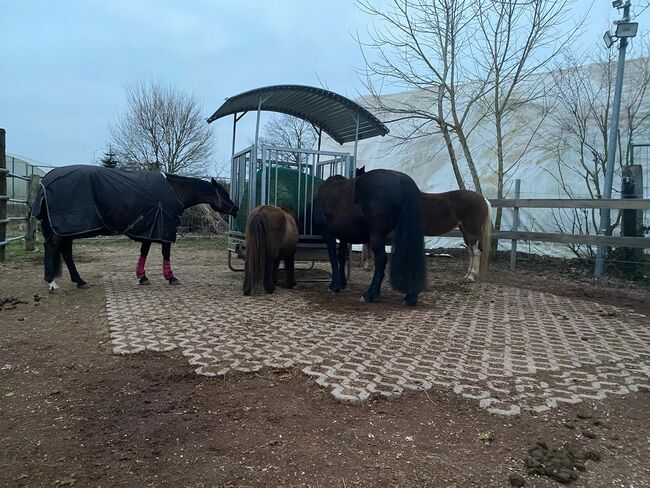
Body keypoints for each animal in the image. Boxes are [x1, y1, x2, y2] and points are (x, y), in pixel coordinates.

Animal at [31, 166, 238, 292]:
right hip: (64, 228)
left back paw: (79, 281)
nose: (236, 208)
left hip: (67, 229)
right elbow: (165, 252)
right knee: (52, 248)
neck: (174, 191)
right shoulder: (164, 226)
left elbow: (144, 252)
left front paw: (142, 277)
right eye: (224, 193)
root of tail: (46, 180)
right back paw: (52, 282)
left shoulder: (150, 227)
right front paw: (170, 277)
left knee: (65, 251)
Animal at [312, 169, 426, 304]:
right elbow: (341, 256)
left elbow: (333, 258)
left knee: (381, 259)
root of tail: (401, 180)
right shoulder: (344, 236)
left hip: (377, 236)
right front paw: (342, 283)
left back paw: (370, 294)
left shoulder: (329, 235)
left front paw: (334, 285)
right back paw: (410, 297)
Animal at [354, 168, 492, 282]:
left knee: (476, 251)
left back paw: (471, 276)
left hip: (472, 230)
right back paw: (467, 274)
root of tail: (483, 199)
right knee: (471, 251)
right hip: (464, 231)